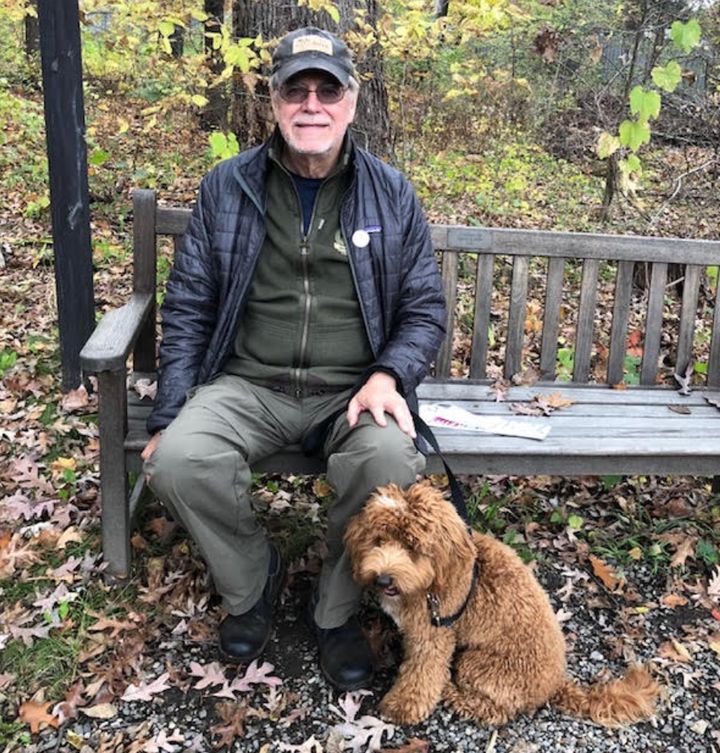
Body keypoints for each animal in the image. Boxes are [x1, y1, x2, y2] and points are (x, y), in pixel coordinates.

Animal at [346, 484, 660, 724]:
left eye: (412, 547)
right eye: (378, 540)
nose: (383, 579)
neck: (433, 579)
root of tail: (554, 685)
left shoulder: (435, 632)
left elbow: (422, 672)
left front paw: (402, 706)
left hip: (480, 665)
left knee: (494, 712)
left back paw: (453, 694)